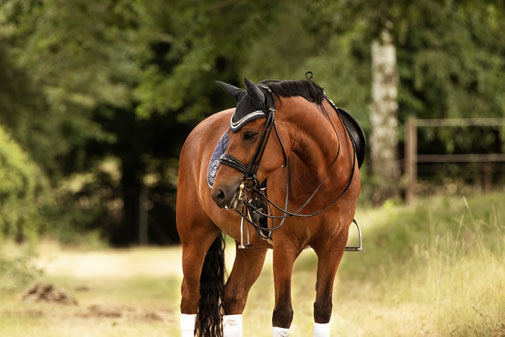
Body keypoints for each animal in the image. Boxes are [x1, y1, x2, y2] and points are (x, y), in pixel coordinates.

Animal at [177, 77, 362, 336]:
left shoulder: (334, 245)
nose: (219, 192)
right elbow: (283, 314)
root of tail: (197, 131)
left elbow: (323, 308)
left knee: (234, 297)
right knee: (190, 297)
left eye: (249, 134)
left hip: (253, 248)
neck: (324, 177)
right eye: (229, 135)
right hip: (195, 239)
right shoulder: (285, 247)